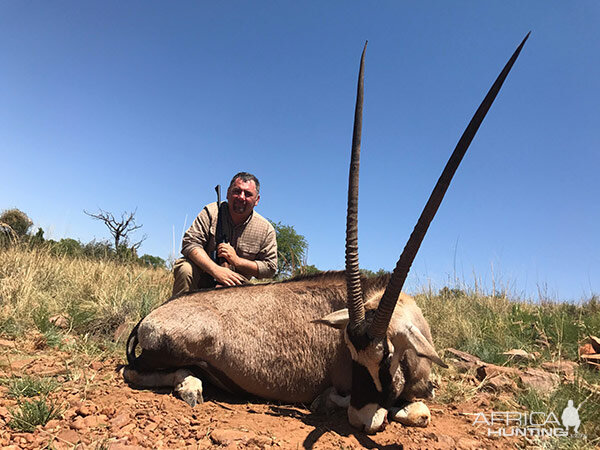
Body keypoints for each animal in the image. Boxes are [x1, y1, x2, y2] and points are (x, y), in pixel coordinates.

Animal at [124, 37, 528, 434]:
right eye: (351, 355)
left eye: (387, 357)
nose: (362, 418)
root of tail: (150, 318)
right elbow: (413, 412)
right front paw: (343, 405)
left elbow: (420, 405)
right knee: (134, 372)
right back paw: (191, 386)